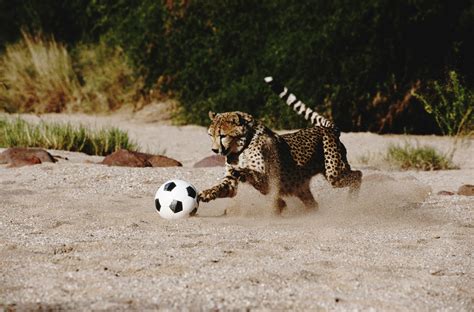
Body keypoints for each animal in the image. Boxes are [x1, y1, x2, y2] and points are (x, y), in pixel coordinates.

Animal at [198, 76, 362, 212]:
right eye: (210, 135)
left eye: (222, 136)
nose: (214, 150)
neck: (241, 147)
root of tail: (327, 128)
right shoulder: (231, 182)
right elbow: (221, 187)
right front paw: (206, 193)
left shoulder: (269, 178)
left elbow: (250, 172)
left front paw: (242, 172)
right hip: (300, 186)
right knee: (314, 204)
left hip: (334, 174)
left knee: (358, 175)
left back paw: (352, 200)